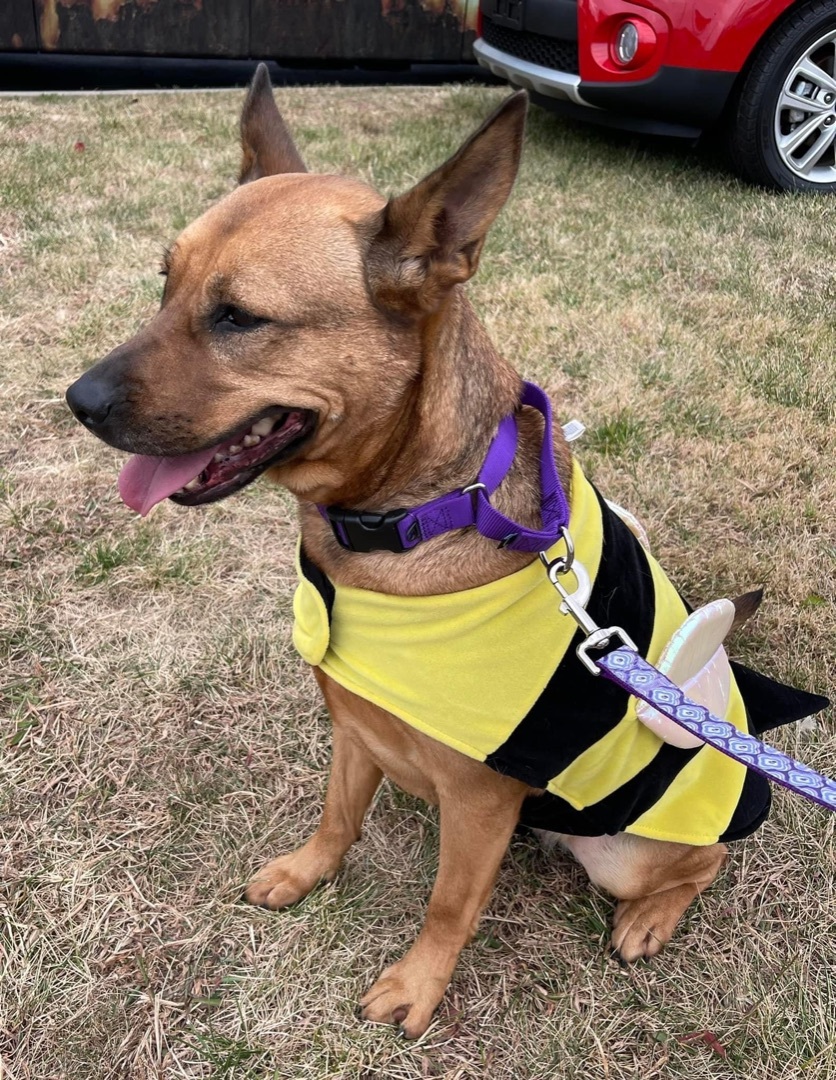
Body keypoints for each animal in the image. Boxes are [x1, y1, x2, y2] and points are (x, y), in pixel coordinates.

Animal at [65, 65, 825, 1036]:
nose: (77, 401)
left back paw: (651, 918)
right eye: (164, 284)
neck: (410, 514)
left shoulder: (478, 801)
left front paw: (419, 983)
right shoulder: (354, 728)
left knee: (708, 862)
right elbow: (336, 816)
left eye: (238, 317)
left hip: (632, 852)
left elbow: (449, 902)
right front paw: (306, 873)